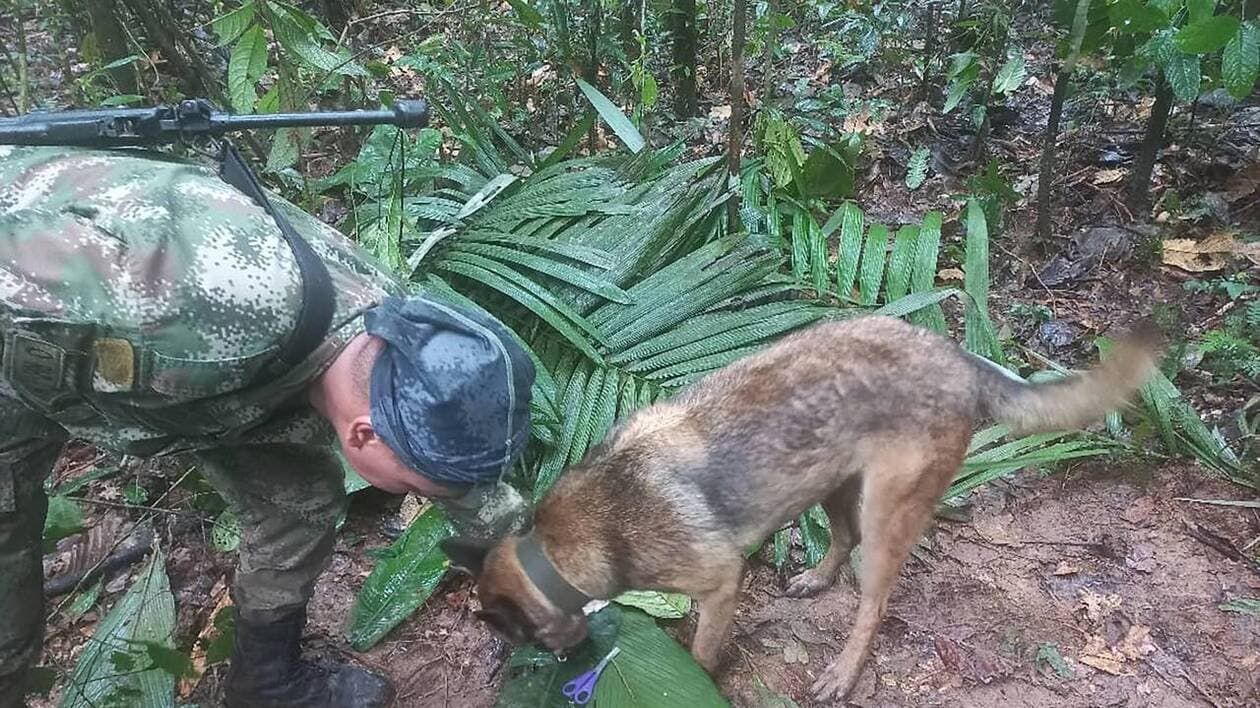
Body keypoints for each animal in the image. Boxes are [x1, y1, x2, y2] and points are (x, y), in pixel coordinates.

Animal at [443, 313, 1159, 700]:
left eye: (517, 638)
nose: (566, 665)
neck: (556, 549)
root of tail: (958, 357)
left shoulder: (719, 582)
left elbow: (702, 652)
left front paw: (699, 675)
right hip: (832, 483)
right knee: (840, 540)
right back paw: (815, 578)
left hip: (885, 511)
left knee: (873, 602)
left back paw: (843, 672)